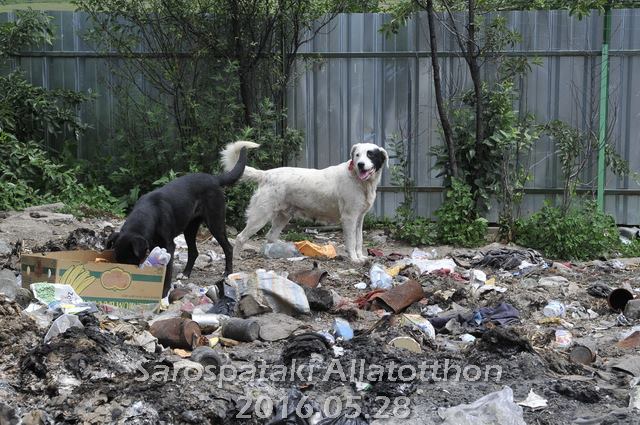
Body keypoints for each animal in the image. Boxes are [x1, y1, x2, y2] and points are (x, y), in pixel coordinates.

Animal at [106, 147, 249, 296]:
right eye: (118, 261)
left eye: (129, 260)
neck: (148, 213)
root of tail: (214, 178)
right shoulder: (153, 245)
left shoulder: (169, 246)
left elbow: (167, 272)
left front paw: (164, 293)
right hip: (190, 228)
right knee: (194, 251)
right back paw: (185, 273)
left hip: (215, 223)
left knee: (228, 248)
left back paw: (228, 273)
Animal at [220, 141, 390, 264]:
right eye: (357, 155)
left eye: (370, 154)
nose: (360, 164)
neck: (359, 180)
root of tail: (266, 174)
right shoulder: (349, 218)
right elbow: (352, 241)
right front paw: (354, 259)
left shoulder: (359, 219)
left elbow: (359, 240)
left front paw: (360, 257)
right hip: (260, 216)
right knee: (241, 237)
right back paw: (237, 258)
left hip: (282, 217)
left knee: (270, 236)